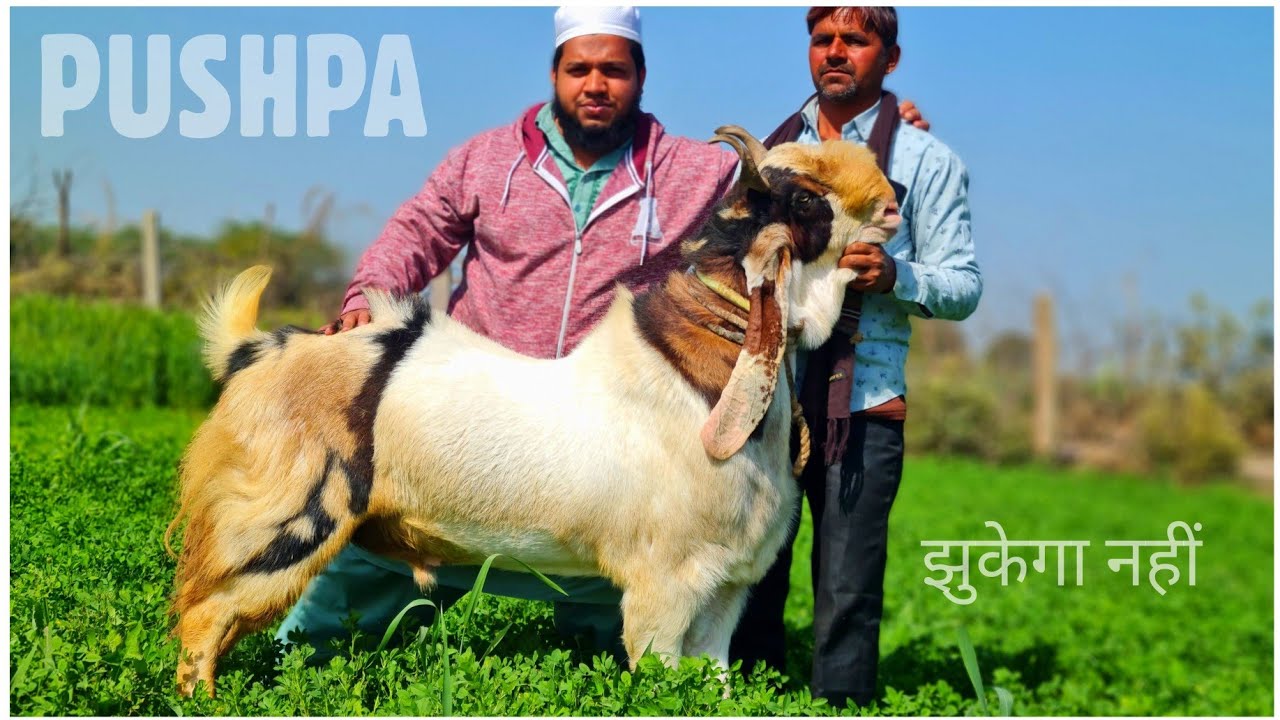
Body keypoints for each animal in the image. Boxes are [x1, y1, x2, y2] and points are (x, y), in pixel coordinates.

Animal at [167, 127, 902, 696]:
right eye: (804, 198)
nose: (893, 201)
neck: (699, 376)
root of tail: (251, 350)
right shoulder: (667, 581)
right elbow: (664, 680)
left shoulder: (725, 587)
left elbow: (713, 682)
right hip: (282, 518)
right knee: (205, 616)